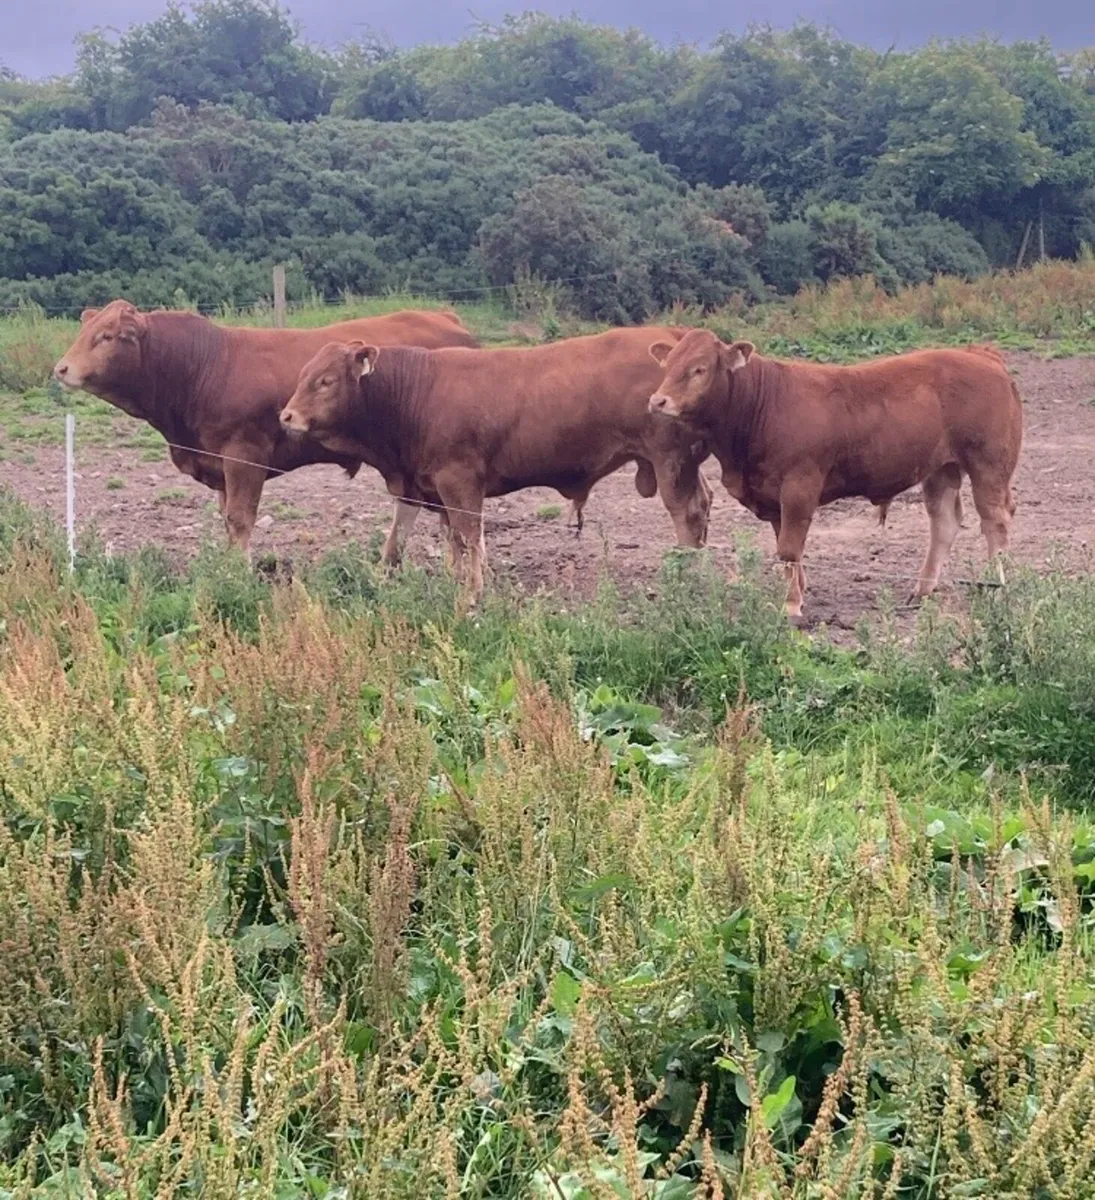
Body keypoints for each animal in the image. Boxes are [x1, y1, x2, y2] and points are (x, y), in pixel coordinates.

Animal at [51, 299, 481, 555]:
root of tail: (443, 316)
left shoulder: (244, 456)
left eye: (107, 336)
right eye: (83, 332)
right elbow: (227, 520)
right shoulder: (219, 465)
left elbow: (240, 519)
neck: (204, 366)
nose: (62, 368)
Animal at [277, 327, 714, 601]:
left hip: (669, 459)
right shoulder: (425, 485)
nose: (286, 416)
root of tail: (674, 337)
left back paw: (688, 574)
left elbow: (470, 536)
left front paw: (473, 592)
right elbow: (427, 538)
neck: (417, 392)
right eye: (304, 374)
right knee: (705, 501)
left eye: (327, 381)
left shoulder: (459, 481)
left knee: (687, 511)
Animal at [647, 330, 1023, 618]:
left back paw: (996, 586)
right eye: (668, 365)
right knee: (944, 522)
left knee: (996, 521)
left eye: (699, 368)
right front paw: (797, 591)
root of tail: (981, 355)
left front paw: (791, 606)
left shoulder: (799, 486)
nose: (657, 401)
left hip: (989, 463)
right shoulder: (773, 495)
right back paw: (922, 590)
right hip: (941, 467)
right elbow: (786, 547)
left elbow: (789, 548)